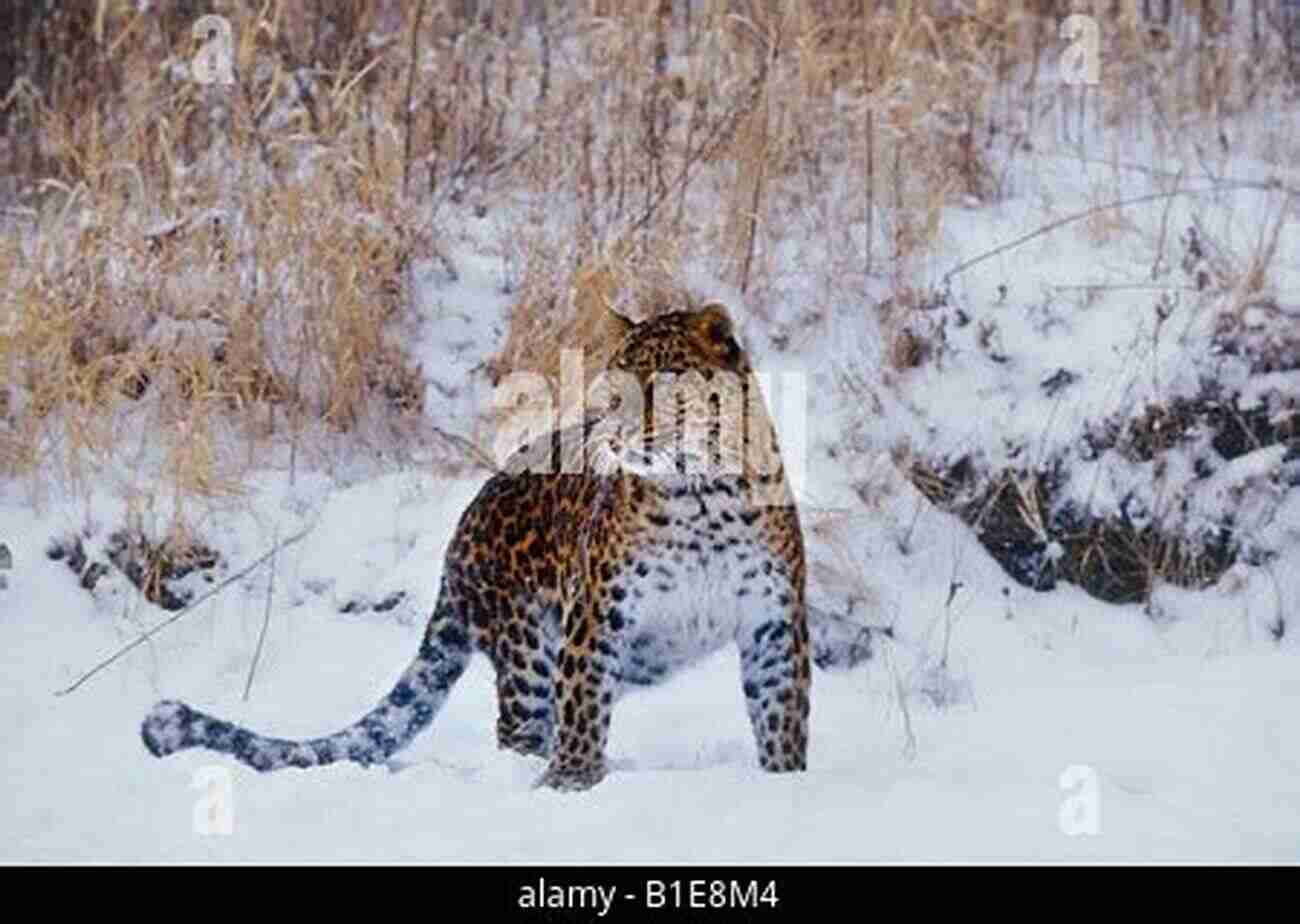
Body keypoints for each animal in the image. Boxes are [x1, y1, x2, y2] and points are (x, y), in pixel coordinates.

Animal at [142, 300, 811, 790]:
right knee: (523, 723)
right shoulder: (597, 615)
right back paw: (528, 771)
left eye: (660, 379)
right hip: (529, 646)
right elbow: (584, 708)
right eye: (613, 379)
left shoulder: (773, 620)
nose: (613, 425)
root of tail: (459, 536)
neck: (703, 495)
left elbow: (782, 713)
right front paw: (571, 784)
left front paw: (785, 784)